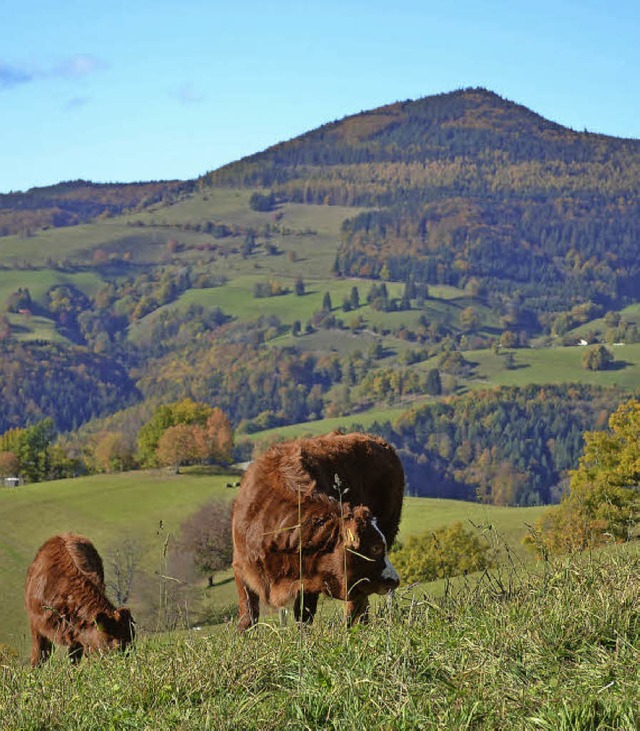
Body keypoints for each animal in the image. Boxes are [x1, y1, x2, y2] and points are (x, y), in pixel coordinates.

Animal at [24, 532, 135, 668]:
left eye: (130, 643)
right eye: (115, 647)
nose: (125, 666)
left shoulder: (79, 636)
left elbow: (74, 660)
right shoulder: (36, 625)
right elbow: (39, 655)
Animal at [231, 432, 404, 632]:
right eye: (375, 548)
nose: (394, 580)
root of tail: (374, 439)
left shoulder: (310, 576)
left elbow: (303, 615)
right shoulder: (240, 566)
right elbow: (248, 615)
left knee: (355, 602)